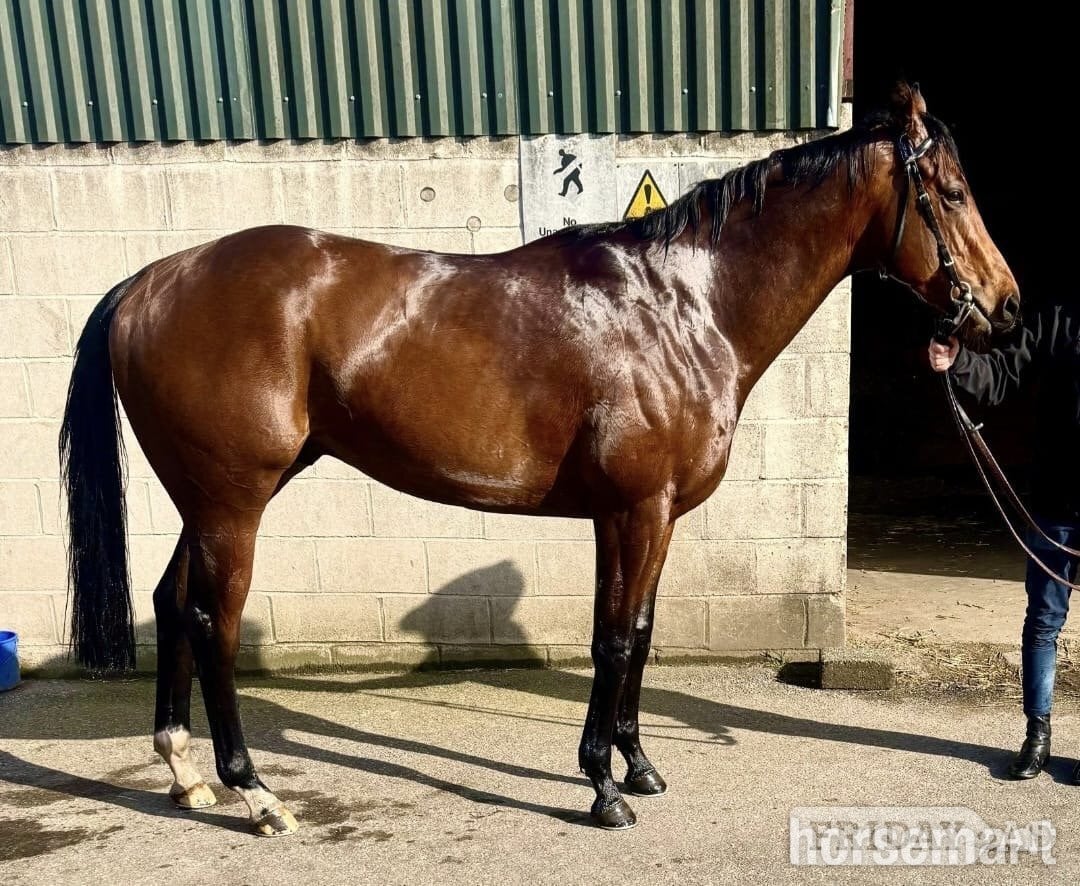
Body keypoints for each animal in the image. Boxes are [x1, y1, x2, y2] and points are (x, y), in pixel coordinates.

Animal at [59, 83, 1018, 835]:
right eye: (952, 191)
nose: (1005, 309)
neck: (685, 306)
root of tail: (149, 282)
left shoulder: (639, 516)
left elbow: (637, 633)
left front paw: (637, 765)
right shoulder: (636, 510)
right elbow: (613, 638)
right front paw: (602, 786)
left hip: (208, 501)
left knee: (170, 602)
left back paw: (184, 773)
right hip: (234, 502)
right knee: (210, 620)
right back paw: (254, 793)